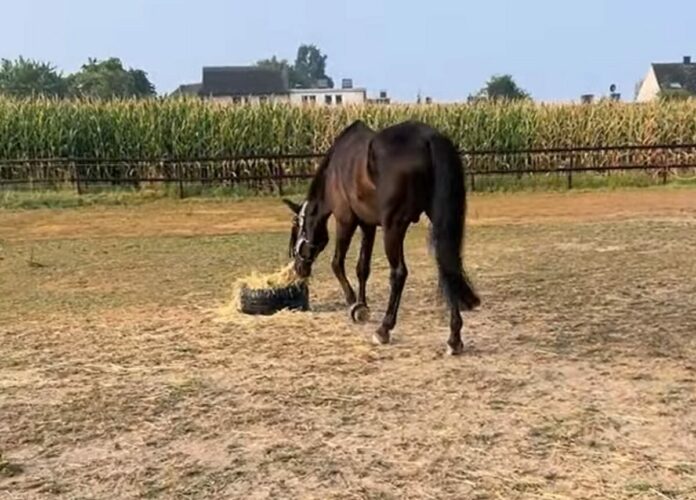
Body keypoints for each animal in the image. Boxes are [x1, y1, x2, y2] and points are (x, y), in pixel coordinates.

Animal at [282, 120, 480, 355]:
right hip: (439, 221)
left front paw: (354, 304)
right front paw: (362, 305)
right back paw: (454, 339)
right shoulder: (368, 225)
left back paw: (384, 329)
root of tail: (429, 139)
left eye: (297, 228)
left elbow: (337, 263)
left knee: (399, 273)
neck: (335, 169)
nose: (298, 269)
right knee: (449, 268)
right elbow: (362, 268)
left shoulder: (346, 220)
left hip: (393, 227)